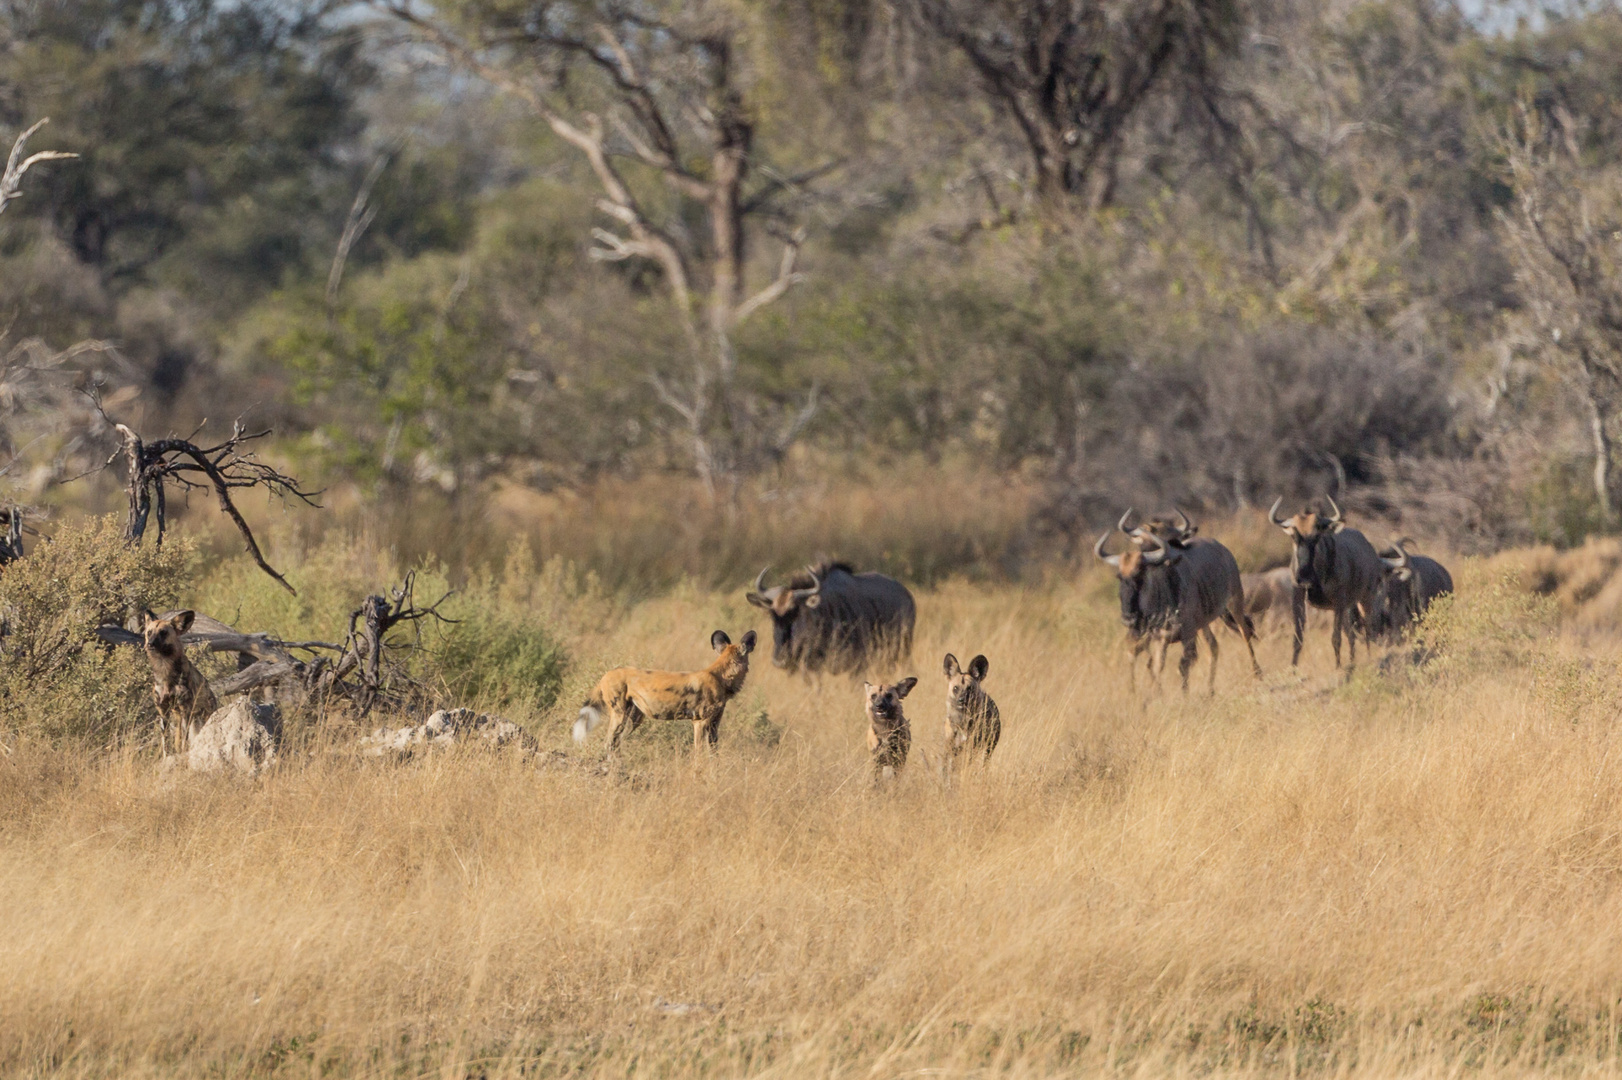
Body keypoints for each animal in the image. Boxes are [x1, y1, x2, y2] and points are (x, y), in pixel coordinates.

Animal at [577, 625, 759, 752]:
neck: (720, 677)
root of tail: (606, 675)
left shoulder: (714, 724)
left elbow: (714, 752)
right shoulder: (700, 722)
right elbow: (699, 753)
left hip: (634, 718)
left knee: (616, 743)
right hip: (619, 715)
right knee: (609, 743)